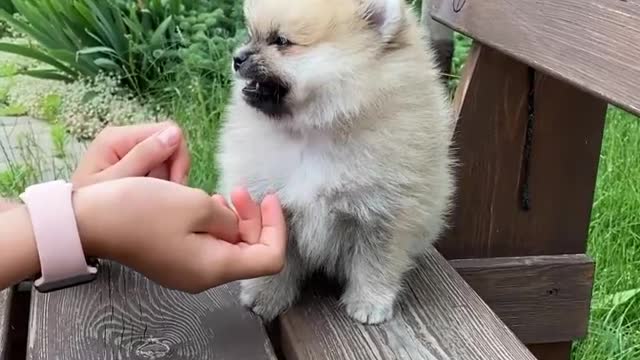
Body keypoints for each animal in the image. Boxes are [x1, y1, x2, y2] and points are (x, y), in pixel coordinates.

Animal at [218, 0, 458, 324]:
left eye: (281, 41)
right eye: (251, 35)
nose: (237, 58)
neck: (313, 131)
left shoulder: (382, 212)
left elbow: (375, 263)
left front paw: (370, 304)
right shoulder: (269, 202)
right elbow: (274, 259)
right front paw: (265, 297)